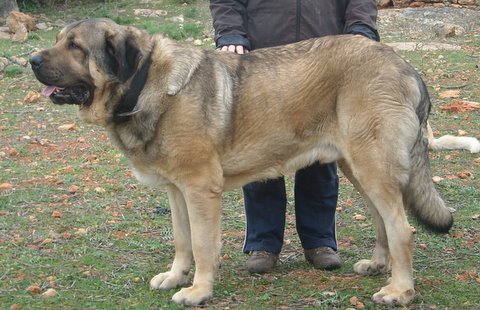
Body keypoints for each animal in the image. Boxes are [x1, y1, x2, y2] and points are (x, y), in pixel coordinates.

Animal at [31, 18, 454, 306]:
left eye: (75, 46)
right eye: (59, 41)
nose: (31, 59)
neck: (145, 84)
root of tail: (406, 67)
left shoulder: (201, 189)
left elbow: (202, 244)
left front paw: (199, 290)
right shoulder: (176, 191)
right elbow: (182, 240)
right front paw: (176, 277)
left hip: (373, 168)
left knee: (402, 230)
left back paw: (400, 290)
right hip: (360, 169)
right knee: (384, 223)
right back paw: (379, 266)